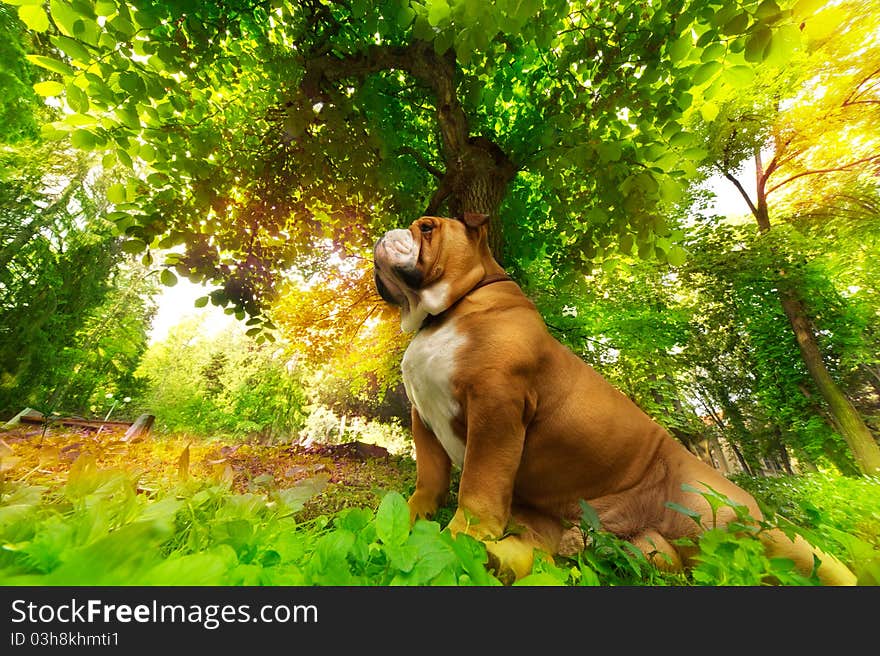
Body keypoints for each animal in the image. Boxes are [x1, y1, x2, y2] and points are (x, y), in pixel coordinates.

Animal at [374, 214, 856, 584]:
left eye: (428, 227)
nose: (385, 235)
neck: (448, 312)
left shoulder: (496, 408)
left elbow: (477, 491)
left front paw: (455, 538)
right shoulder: (424, 418)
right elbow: (430, 478)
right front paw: (412, 517)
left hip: (727, 520)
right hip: (584, 531)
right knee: (546, 552)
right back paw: (502, 560)